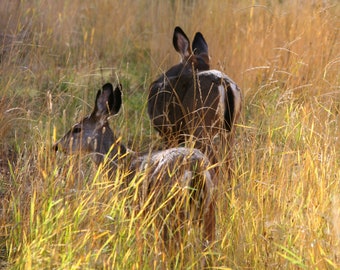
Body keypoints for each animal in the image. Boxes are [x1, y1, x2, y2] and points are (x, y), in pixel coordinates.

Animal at [53, 84, 215, 251]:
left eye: (76, 129)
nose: (57, 146)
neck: (121, 165)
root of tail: (196, 168)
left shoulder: (131, 206)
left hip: (169, 208)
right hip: (208, 209)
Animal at [149, 26, 242, 167]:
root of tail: (224, 84)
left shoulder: (167, 130)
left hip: (200, 124)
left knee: (214, 161)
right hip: (230, 129)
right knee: (228, 162)